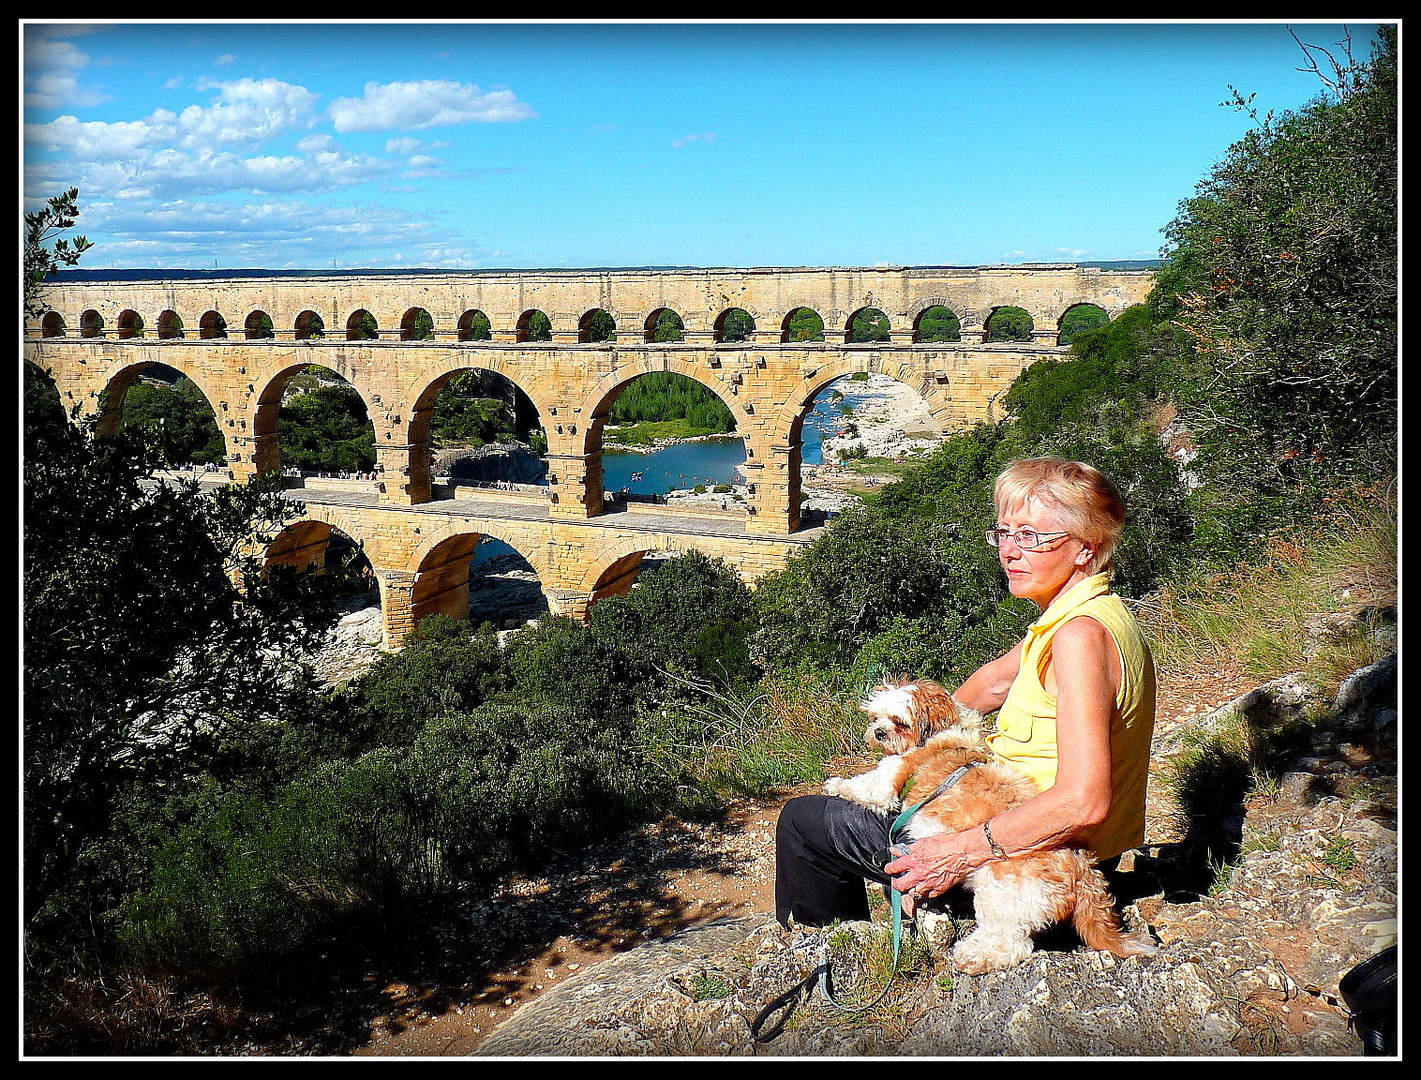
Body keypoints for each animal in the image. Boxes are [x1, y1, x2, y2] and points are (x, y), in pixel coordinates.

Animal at [824, 679, 1153, 971]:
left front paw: (835, 784)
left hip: (1001, 894)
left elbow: (866, 786)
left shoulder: (891, 777)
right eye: (875, 717)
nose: (879, 732)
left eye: (898, 722)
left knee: (1012, 942)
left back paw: (974, 956)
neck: (942, 734)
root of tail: (1084, 870)